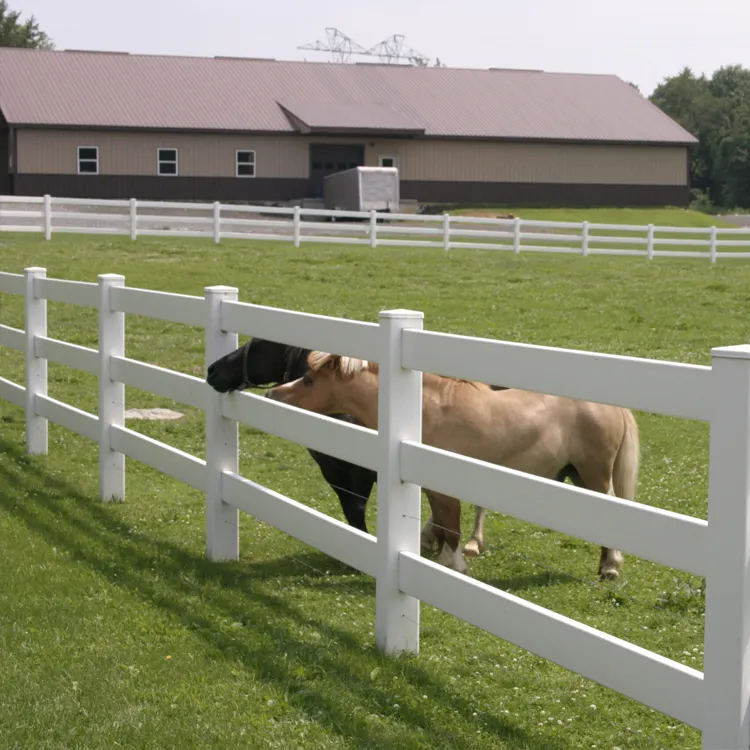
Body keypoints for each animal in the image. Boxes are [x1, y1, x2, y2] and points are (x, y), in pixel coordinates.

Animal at [264, 352, 640, 580]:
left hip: (593, 474)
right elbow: (444, 527)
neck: (423, 410)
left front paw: (454, 566)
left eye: (309, 380)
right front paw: (446, 560)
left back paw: (609, 568)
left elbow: (452, 529)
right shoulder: (432, 487)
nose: (272, 395)